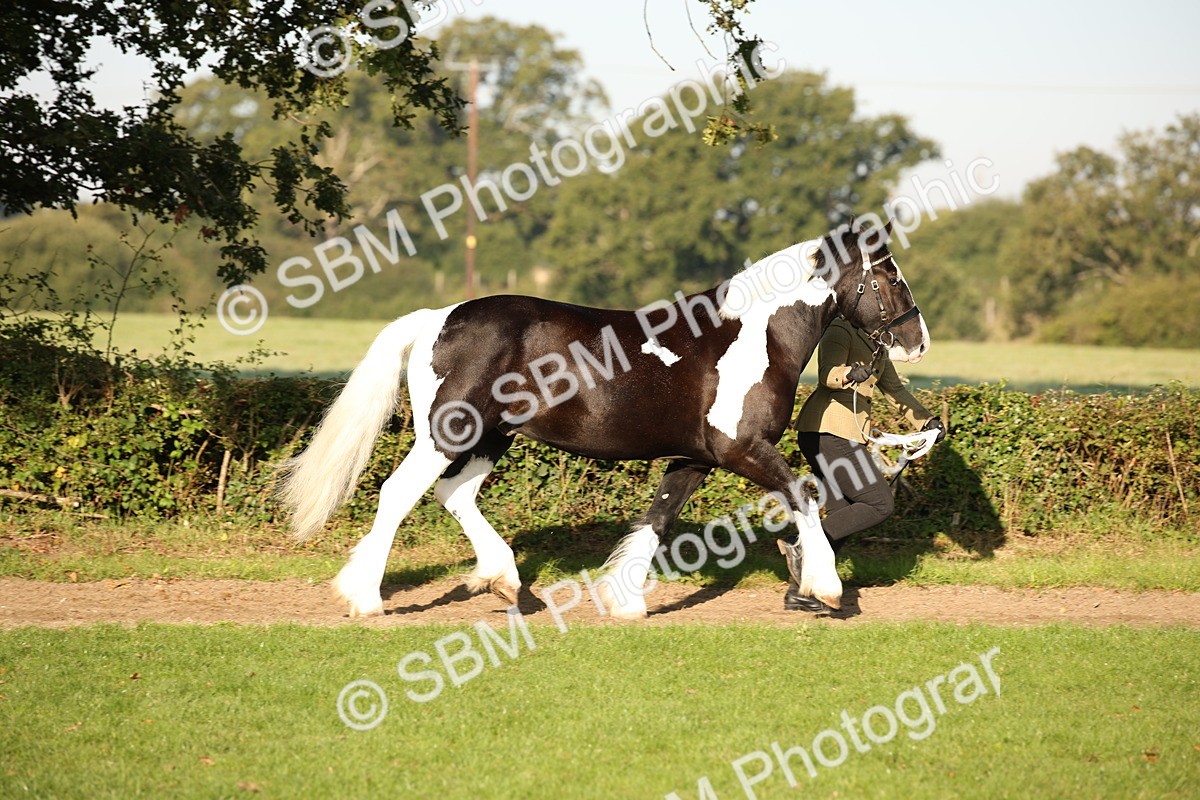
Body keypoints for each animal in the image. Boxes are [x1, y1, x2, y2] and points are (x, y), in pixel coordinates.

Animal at [279, 219, 930, 618]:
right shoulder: (742, 451)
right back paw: (366, 597)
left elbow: (659, 520)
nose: (917, 340)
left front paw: (626, 601)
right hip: (447, 434)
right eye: (888, 273)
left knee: (453, 496)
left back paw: (507, 581)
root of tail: (441, 316)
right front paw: (825, 586)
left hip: (491, 437)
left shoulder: (695, 458)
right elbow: (805, 496)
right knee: (398, 493)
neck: (753, 336)